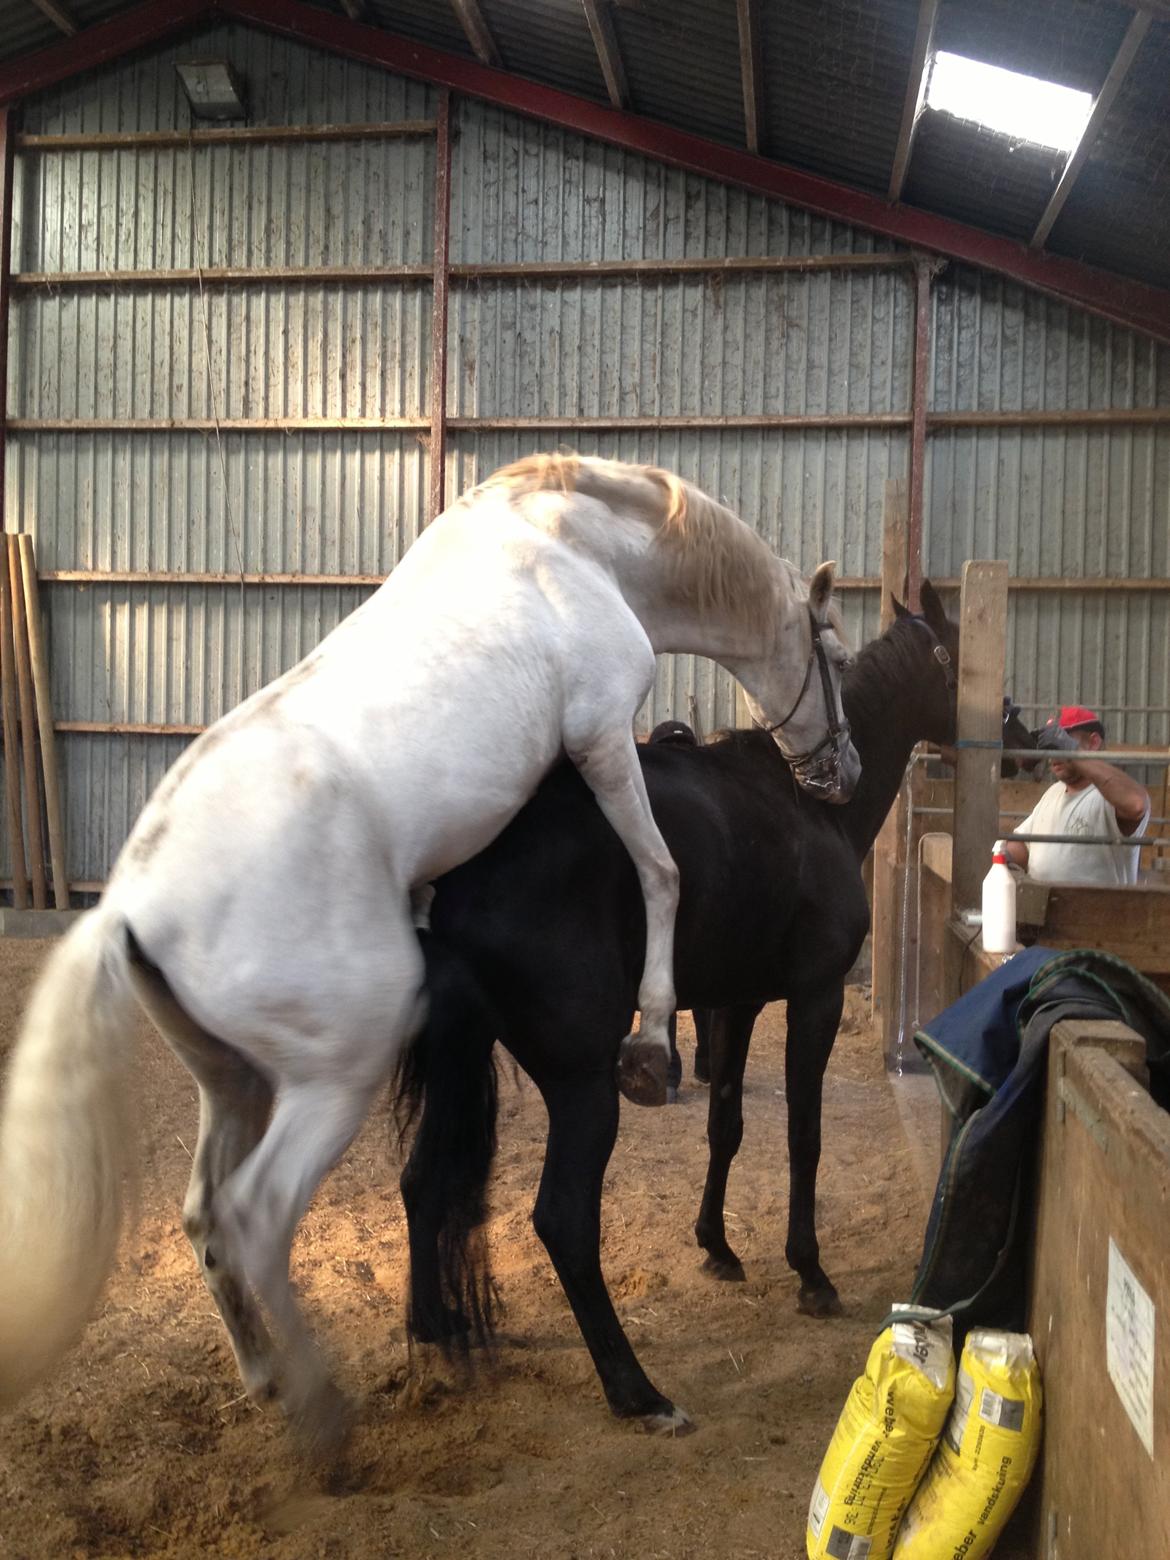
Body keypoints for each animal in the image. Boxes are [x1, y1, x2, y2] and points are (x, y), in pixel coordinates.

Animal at [0, 455, 861, 1447]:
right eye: (837, 658)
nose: (843, 776)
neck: (578, 548)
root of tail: (133, 908)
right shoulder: (602, 737)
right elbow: (662, 871)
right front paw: (651, 1047)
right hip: (332, 1082)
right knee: (255, 1216)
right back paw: (326, 1421)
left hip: (235, 1083)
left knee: (205, 1217)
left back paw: (267, 1378)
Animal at [399, 583, 954, 1428]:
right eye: (954, 660)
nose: (1019, 723)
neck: (813, 807)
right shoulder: (815, 998)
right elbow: (804, 1136)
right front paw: (810, 1273)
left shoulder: (738, 1004)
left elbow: (726, 1126)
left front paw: (717, 1247)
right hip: (583, 1086)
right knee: (563, 1220)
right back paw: (636, 1391)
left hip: (461, 1064)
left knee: (421, 1181)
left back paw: (437, 1327)